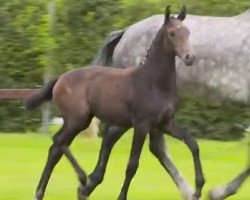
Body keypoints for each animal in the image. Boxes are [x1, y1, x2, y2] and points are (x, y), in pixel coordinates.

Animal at [26, 5, 204, 200]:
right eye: (172, 33)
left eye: (187, 32)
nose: (190, 57)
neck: (154, 82)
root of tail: (60, 79)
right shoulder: (142, 125)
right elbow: (132, 164)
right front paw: (121, 196)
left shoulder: (165, 123)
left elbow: (193, 144)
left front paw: (198, 188)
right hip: (77, 120)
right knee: (58, 141)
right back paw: (82, 179)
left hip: (79, 121)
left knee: (55, 148)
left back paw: (42, 192)